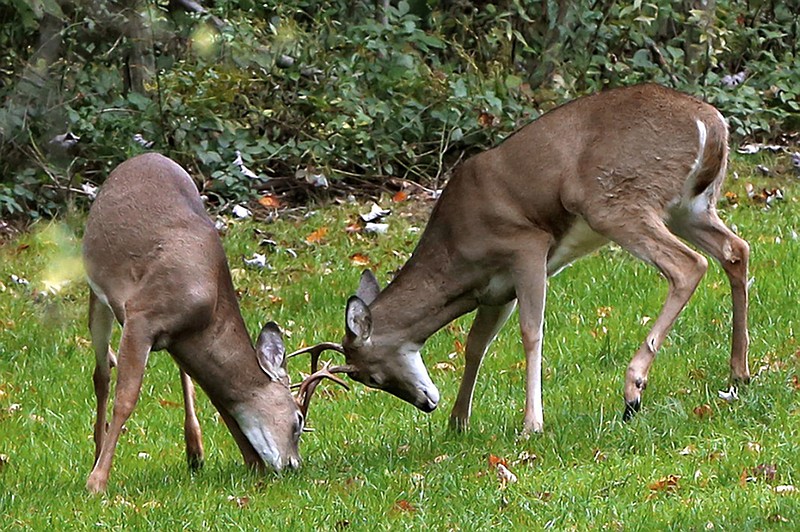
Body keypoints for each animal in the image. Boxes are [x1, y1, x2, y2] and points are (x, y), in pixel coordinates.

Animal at [83, 152, 348, 492]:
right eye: (298, 421)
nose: (293, 464)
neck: (208, 300)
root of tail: (140, 157)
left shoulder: (183, 337)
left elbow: (220, 398)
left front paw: (253, 462)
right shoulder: (142, 316)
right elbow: (126, 399)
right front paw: (97, 481)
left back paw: (194, 450)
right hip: (98, 291)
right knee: (101, 374)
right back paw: (98, 452)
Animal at [294, 82, 752, 432]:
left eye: (370, 376)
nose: (427, 404)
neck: (457, 252)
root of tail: (712, 124)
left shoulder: (526, 245)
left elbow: (531, 333)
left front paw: (532, 423)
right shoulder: (496, 290)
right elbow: (476, 345)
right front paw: (458, 423)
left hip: (615, 200)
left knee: (688, 264)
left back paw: (633, 389)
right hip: (689, 207)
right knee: (736, 250)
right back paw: (738, 374)